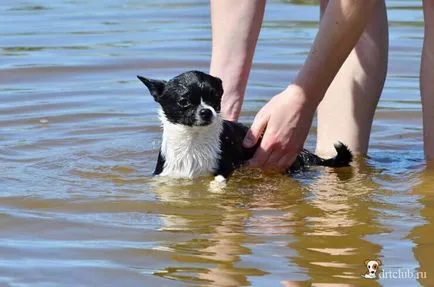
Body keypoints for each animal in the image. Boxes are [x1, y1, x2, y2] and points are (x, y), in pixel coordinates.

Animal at [139, 70, 352, 182]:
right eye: (184, 102)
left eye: (215, 98)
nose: (206, 111)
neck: (194, 140)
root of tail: (302, 152)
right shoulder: (167, 173)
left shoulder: (222, 171)